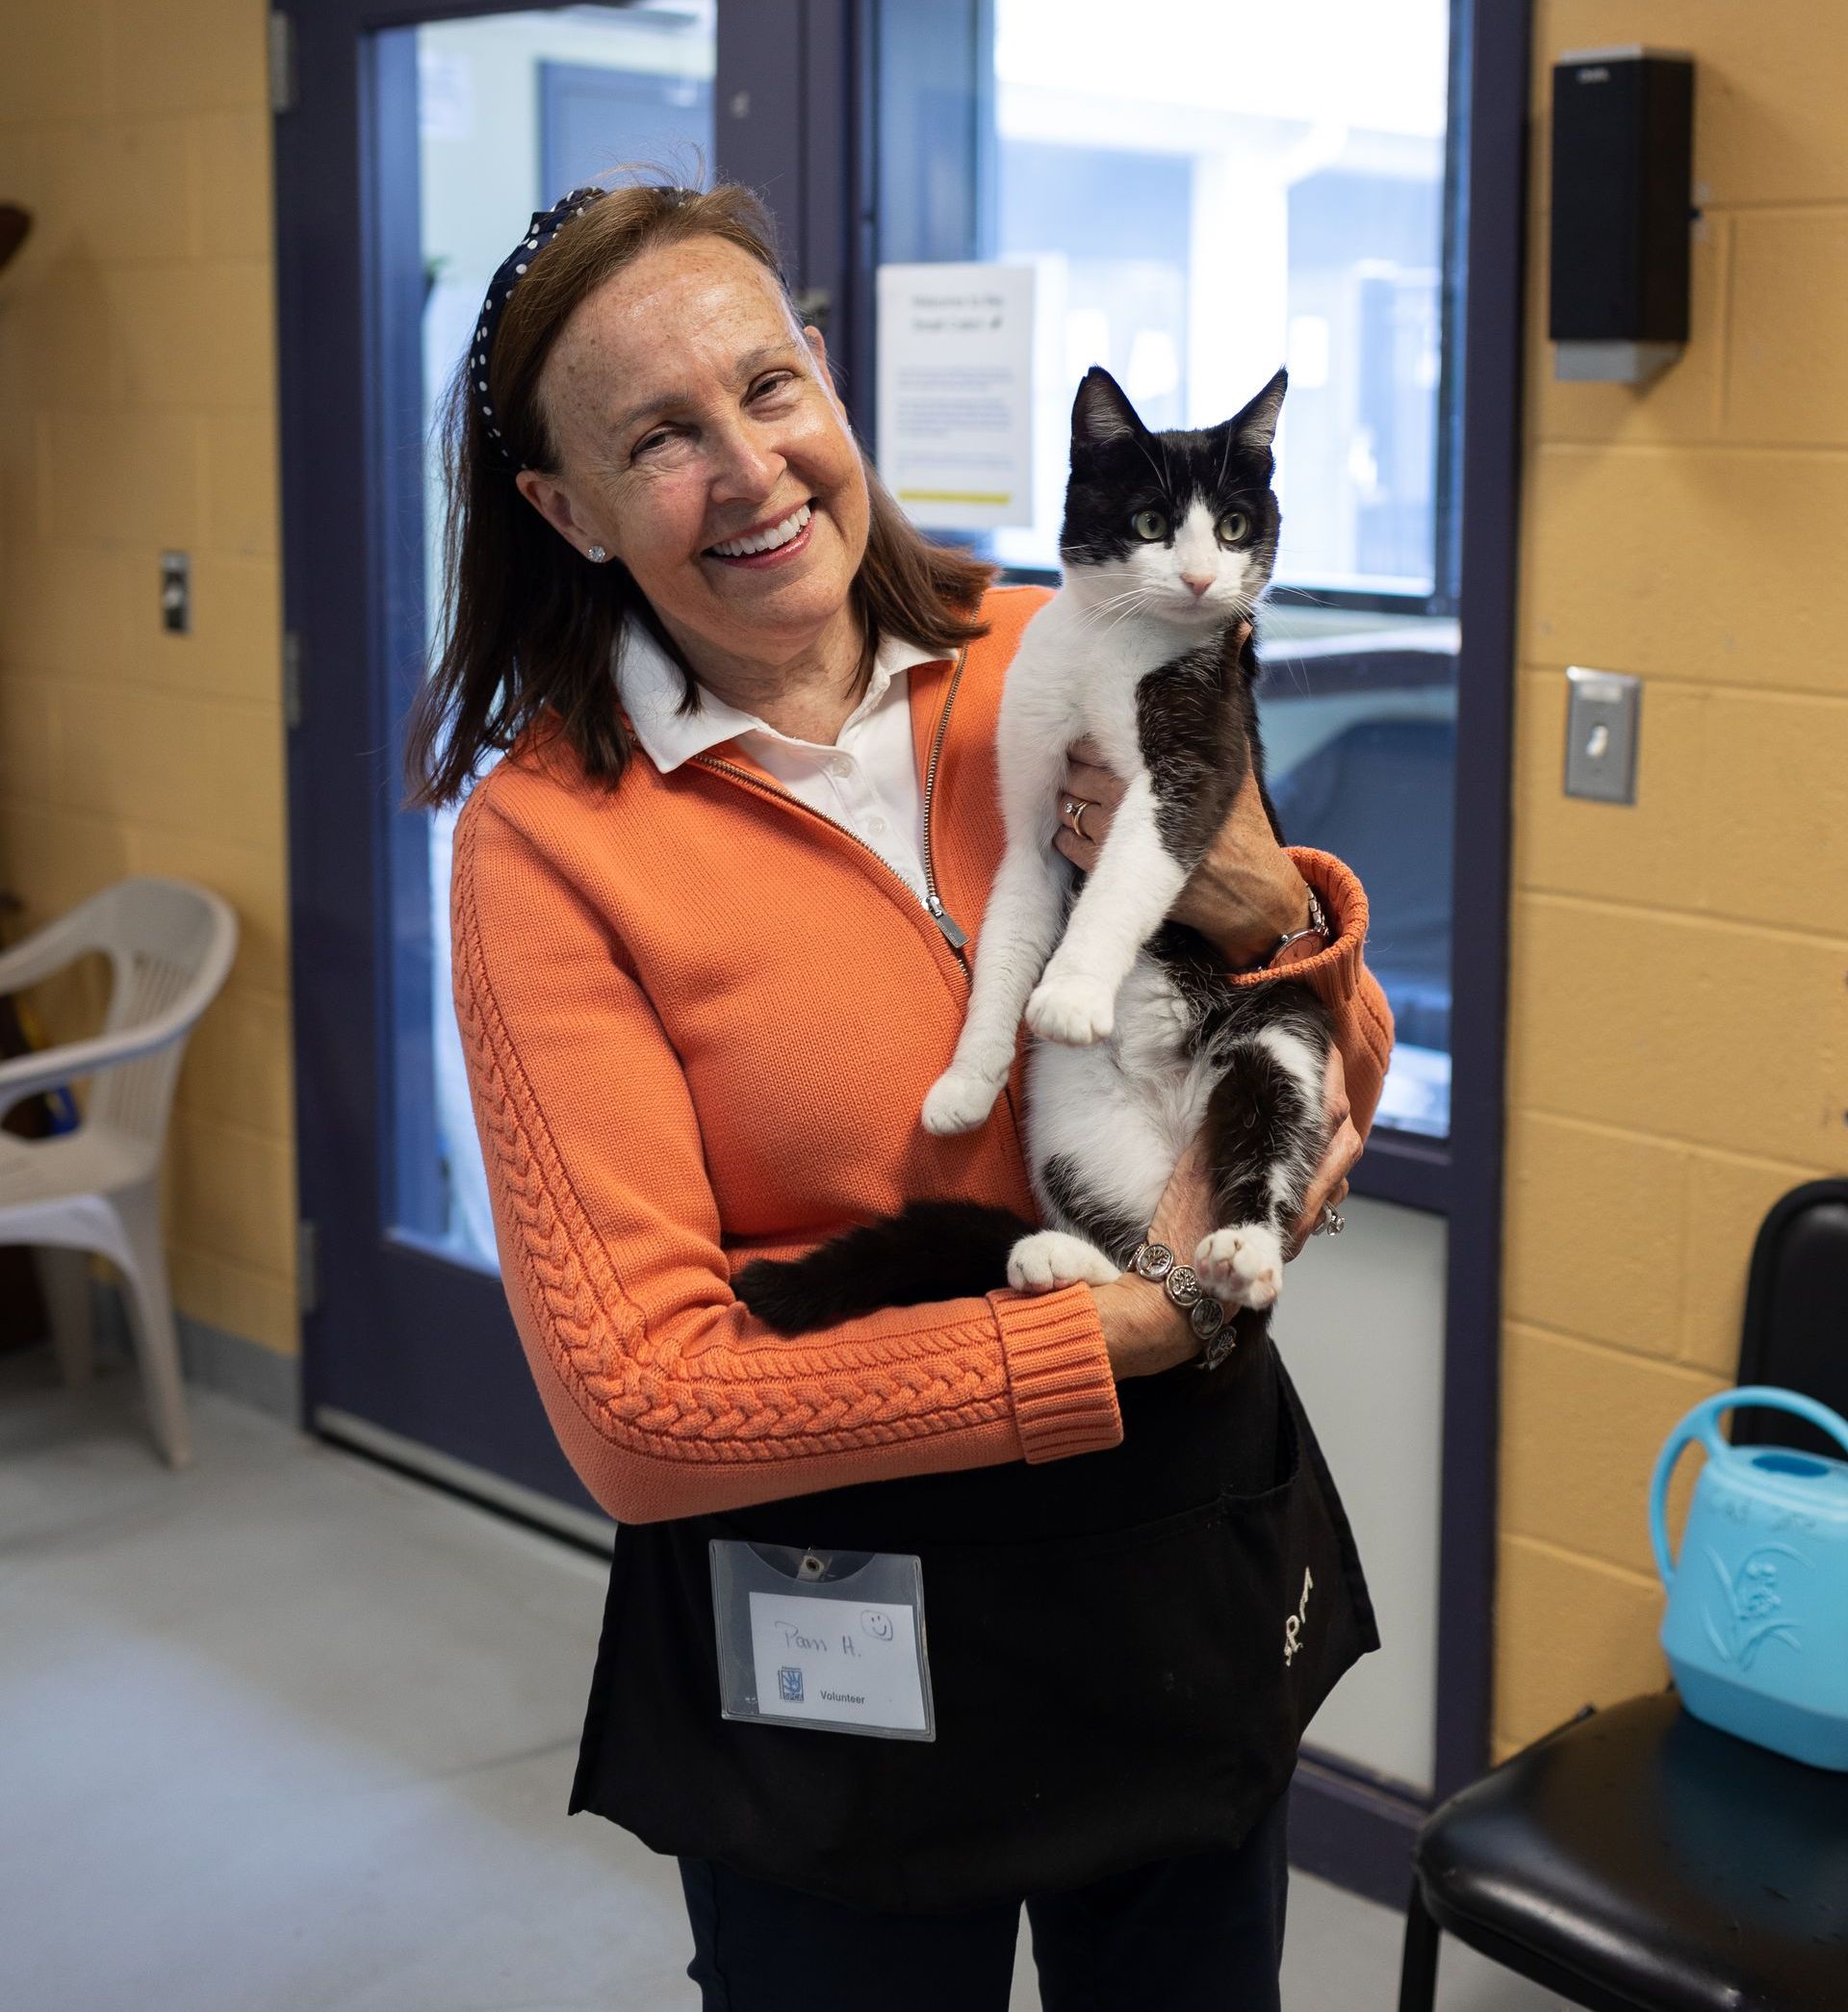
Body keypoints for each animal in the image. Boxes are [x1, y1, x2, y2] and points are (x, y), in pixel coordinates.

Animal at [744, 366, 1335, 1335]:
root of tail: (1173, 1131)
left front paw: (1071, 991)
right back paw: (1054, 1260)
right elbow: (1013, 925)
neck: (1115, 640)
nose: (1202, 580)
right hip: (1066, 1119)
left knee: (1272, 1127)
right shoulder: (1033, 809)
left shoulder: (1197, 751)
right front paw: (967, 1079)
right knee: (1128, 1258)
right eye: (1150, 522)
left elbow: (1128, 871)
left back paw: (1243, 1252)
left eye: (1236, 527)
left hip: (1280, 1030)